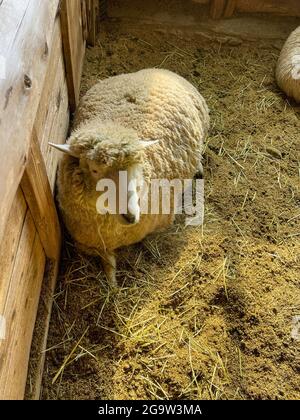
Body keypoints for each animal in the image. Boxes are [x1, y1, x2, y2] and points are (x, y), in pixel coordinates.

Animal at [49, 69, 210, 286]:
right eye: (94, 170)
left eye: (136, 167)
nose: (131, 215)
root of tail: (158, 69)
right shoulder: (85, 239)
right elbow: (106, 258)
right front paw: (111, 280)